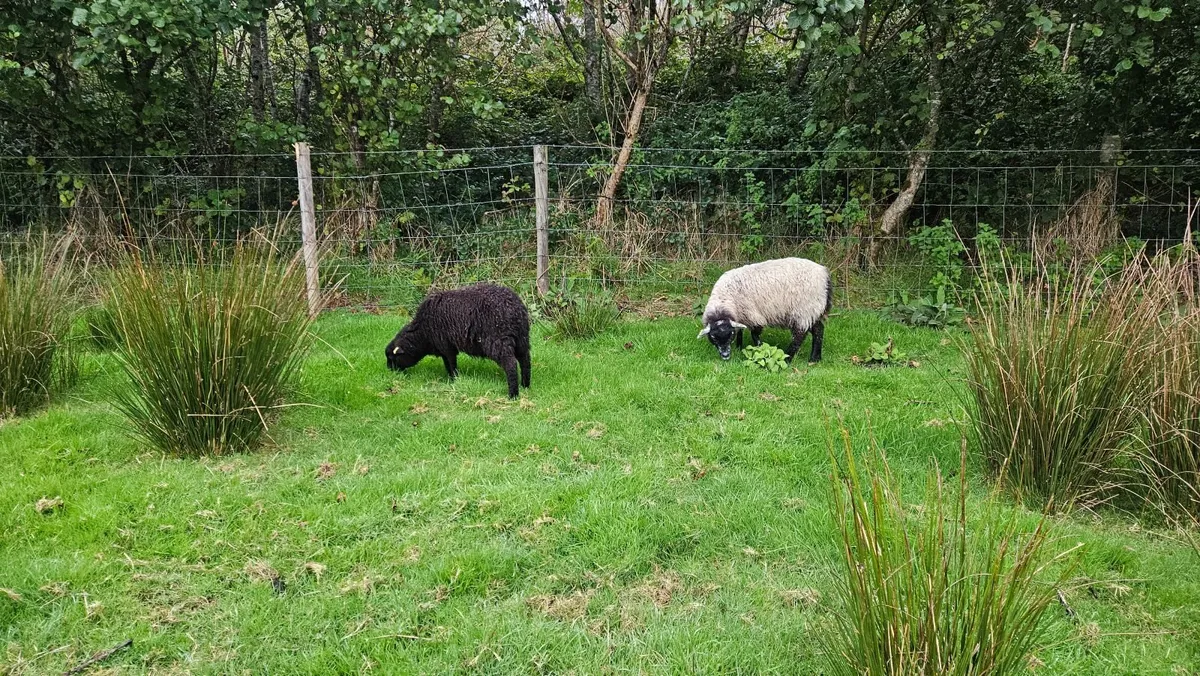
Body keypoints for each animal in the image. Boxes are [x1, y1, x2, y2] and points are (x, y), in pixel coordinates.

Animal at [385, 283, 531, 398]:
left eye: (392, 358)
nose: (390, 371)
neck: (422, 332)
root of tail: (515, 308)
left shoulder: (446, 346)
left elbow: (450, 364)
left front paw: (454, 380)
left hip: (499, 340)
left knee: (511, 364)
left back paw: (513, 395)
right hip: (521, 338)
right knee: (525, 361)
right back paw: (525, 385)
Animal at [697, 257, 831, 363]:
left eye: (730, 335)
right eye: (713, 337)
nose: (725, 355)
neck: (726, 298)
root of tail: (824, 275)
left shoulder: (753, 315)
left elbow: (754, 334)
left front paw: (760, 348)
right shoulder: (740, 315)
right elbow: (740, 331)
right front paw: (739, 347)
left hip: (804, 310)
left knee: (799, 336)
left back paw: (788, 358)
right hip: (814, 310)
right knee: (819, 330)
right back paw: (815, 359)